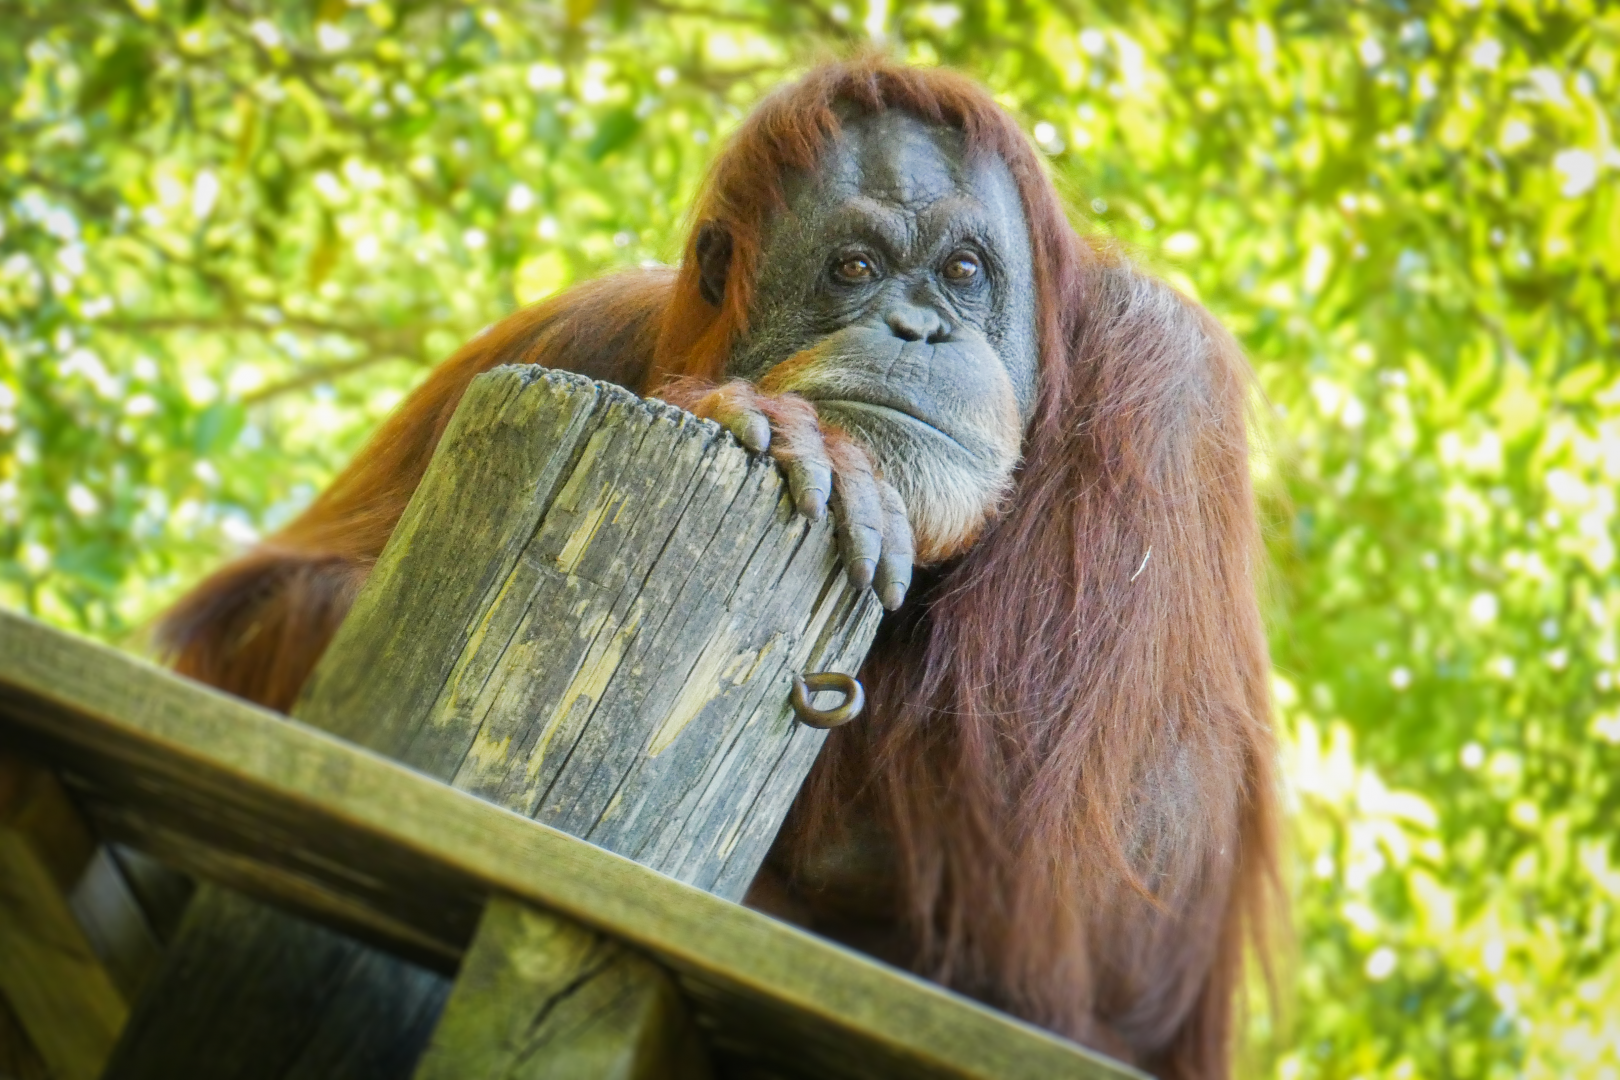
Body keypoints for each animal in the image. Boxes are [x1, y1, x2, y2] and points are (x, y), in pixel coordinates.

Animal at [161, 58, 1279, 1079]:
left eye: (965, 272)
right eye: (854, 268)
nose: (917, 328)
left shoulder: (1168, 398)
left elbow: (1098, 898)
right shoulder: (578, 330)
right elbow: (263, 604)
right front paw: (758, 421)